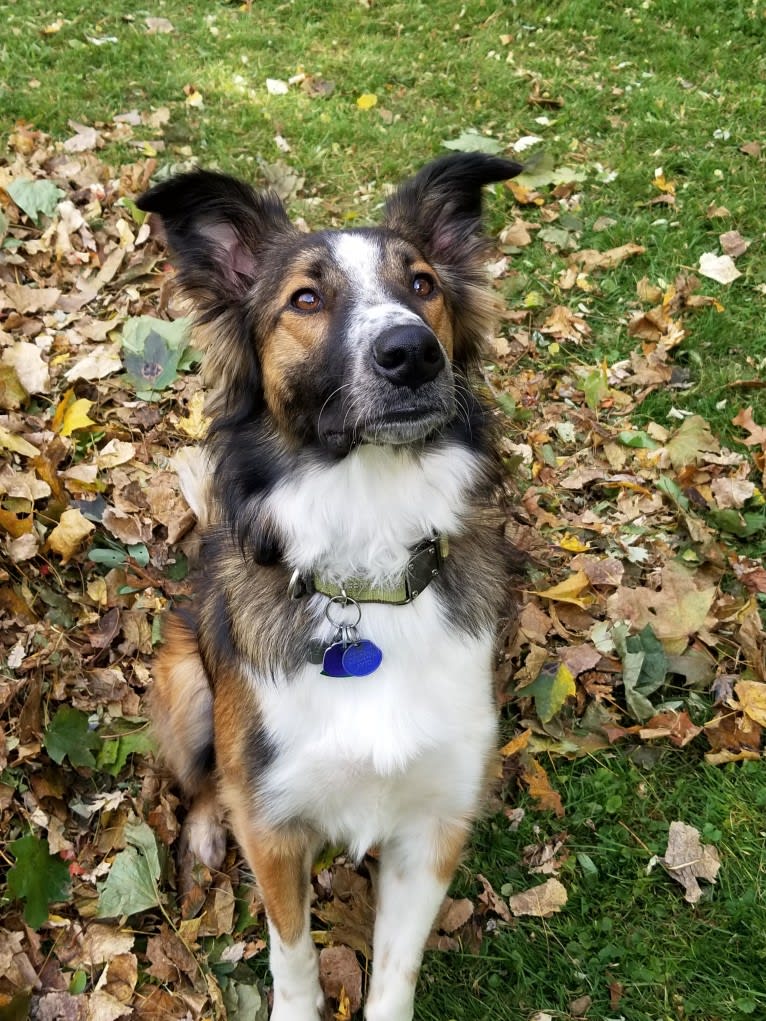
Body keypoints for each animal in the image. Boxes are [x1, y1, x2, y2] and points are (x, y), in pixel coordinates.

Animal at [137, 151, 522, 1021]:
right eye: (305, 300)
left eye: (423, 284)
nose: (413, 353)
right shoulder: (275, 823)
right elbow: (293, 952)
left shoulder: (433, 823)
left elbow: (395, 974)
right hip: (184, 679)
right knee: (202, 778)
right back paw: (206, 826)